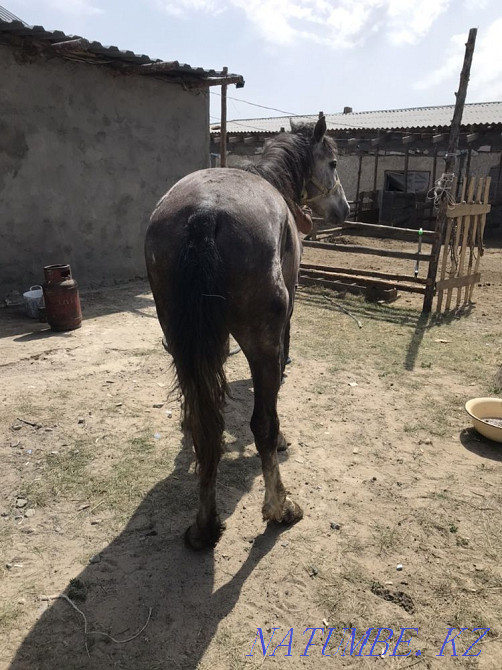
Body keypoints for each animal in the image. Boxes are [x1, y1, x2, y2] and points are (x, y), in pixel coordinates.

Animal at [145, 115, 349, 550]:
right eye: (334, 163)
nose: (345, 208)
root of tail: (204, 213)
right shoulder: (287, 315)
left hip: (178, 337)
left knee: (206, 423)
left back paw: (204, 526)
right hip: (261, 340)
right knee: (263, 424)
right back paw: (279, 509)